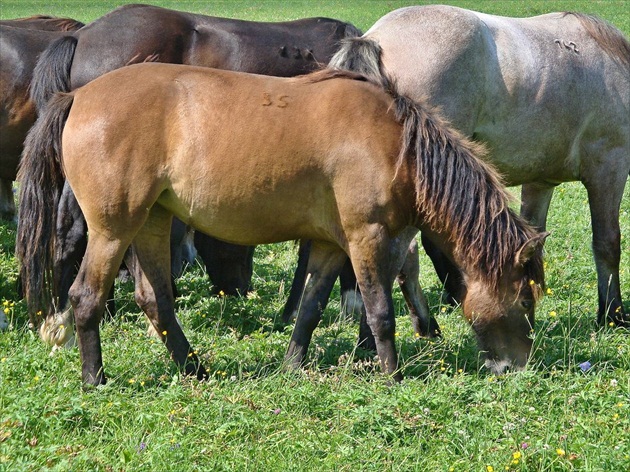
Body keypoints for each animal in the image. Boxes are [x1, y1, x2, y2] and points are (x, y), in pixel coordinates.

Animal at [14, 62, 548, 386]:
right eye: (525, 299)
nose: (517, 368)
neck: (398, 147)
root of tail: (77, 96)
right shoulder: (367, 237)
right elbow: (380, 312)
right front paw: (393, 377)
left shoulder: (331, 244)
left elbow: (310, 308)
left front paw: (292, 367)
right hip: (112, 230)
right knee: (86, 297)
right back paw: (95, 379)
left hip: (151, 222)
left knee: (155, 300)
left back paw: (195, 369)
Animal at [330, 5, 630, 326]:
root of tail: (375, 39)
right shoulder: (609, 168)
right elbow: (607, 244)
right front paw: (612, 314)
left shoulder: (540, 181)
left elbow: (534, 238)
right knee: (404, 254)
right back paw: (425, 326)